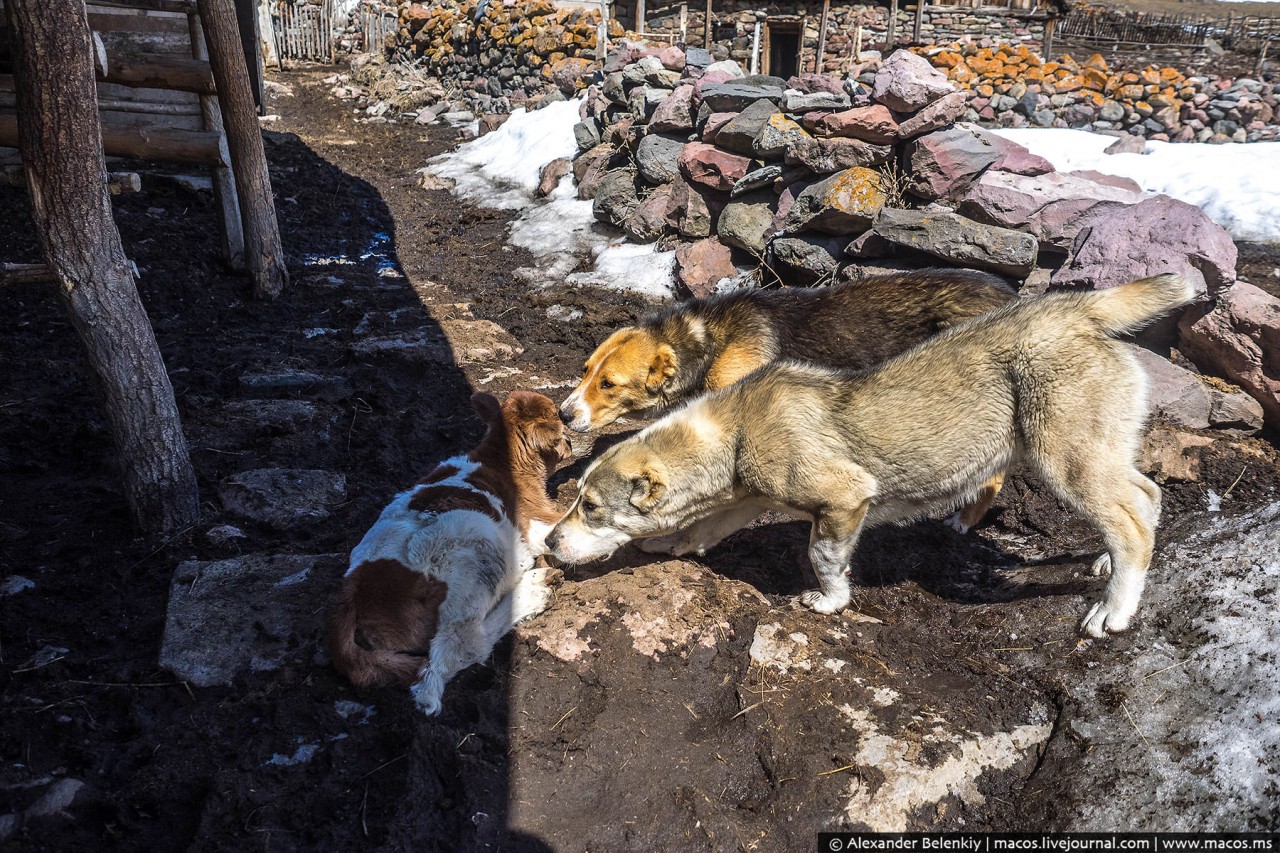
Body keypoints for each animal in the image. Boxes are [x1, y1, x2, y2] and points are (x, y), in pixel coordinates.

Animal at [330, 389, 570, 712]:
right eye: (559, 428)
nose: (570, 443)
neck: (498, 456)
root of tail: (351, 601)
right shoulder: (536, 519)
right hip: (475, 552)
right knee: (458, 650)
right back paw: (533, 591)